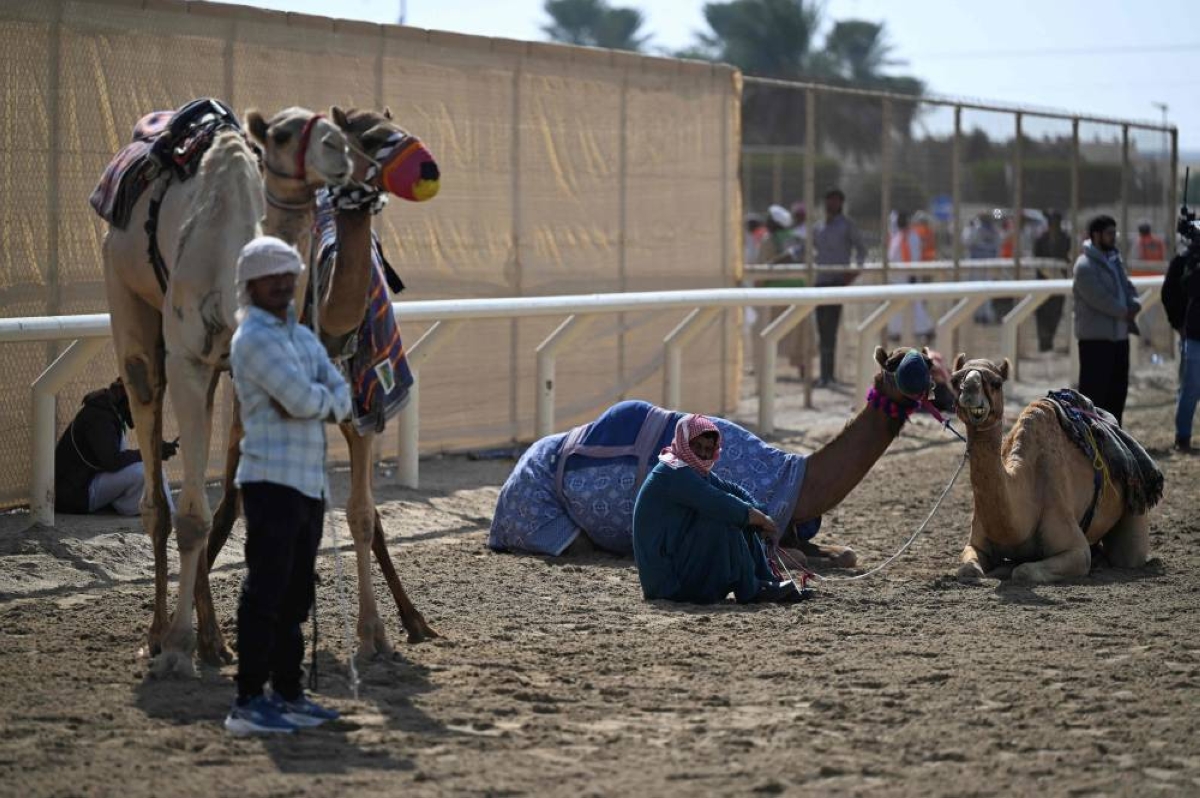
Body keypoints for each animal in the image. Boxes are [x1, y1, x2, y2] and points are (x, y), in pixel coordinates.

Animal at [102, 106, 351, 675]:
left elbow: (232, 508)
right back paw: (157, 633)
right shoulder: (188, 360)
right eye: (282, 133)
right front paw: (176, 647)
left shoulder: (245, 365)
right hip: (127, 299)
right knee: (156, 489)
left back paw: (214, 640)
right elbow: (193, 516)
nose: (339, 147)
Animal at [205, 106, 439, 657]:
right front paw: (368, 633)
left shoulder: (365, 412)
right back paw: (207, 636)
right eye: (370, 137)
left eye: (396, 127)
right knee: (227, 508)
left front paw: (378, 632)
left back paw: (413, 620)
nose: (425, 167)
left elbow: (363, 515)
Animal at [950, 354, 1157, 585]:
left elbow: (1023, 571)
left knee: (1128, 556)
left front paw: (1007, 568)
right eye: (955, 380)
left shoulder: (1075, 547)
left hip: (1136, 506)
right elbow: (968, 570)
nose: (969, 389)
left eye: (996, 383)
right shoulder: (976, 544)